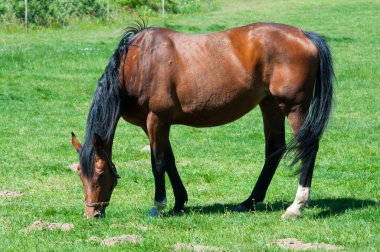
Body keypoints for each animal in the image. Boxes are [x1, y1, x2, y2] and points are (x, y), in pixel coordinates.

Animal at [70, 21, 332, 219]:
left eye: (100, 174)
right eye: (80, 174)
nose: (92, 215)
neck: (138, 63)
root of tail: (304, 35)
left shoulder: (157, 119)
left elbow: (158, 162)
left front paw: (158, 206)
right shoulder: (152, 124)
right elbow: (169, 160)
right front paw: (179, 202)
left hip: (294, 107)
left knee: (308, 148)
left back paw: (296, 207)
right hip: (271, 106)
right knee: (274, 150)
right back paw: (249, 201)